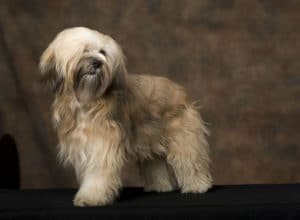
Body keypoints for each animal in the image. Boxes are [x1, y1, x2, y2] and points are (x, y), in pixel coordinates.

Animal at [39, 27, 212, 206]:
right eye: (84, 50)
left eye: (102, 52)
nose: (97, 63)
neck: (86, 100)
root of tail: (180, 91)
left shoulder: (102, 146)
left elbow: (97, 175)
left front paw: (91, 197)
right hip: (150, 139)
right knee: (155, 163)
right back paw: (159, 186)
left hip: (184, 137)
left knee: (191, 161)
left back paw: (198, 186)